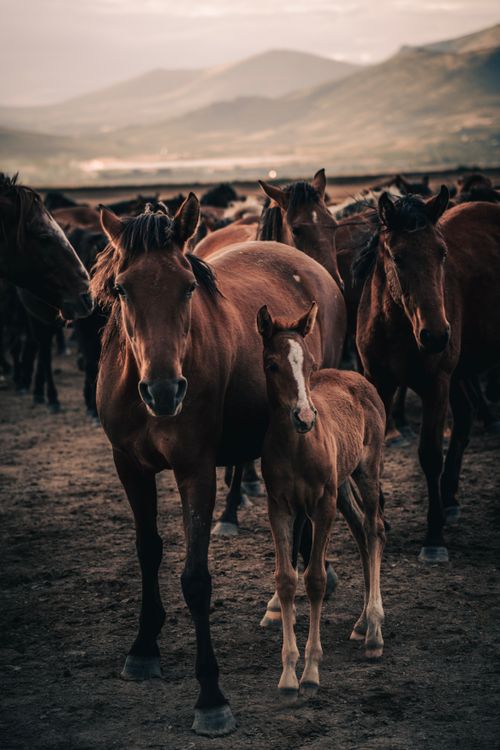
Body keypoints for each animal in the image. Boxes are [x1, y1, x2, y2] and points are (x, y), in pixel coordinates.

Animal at [90, 196, 346, 736]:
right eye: (121, 288)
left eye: (189, 286)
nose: (164, 391)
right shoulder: (129, 467)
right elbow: (148, 550)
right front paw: (143, 648)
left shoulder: (196, 471)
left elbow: (195, 578)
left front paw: (210, 696)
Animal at [257, 302, 386, 696]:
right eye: (272, 364)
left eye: (310, 364)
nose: (304, 416)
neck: (297, 447)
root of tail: (358, 377)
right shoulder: (279, 507)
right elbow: (286, 580)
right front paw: (288, 674)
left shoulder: (322, 505)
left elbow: (314, 579)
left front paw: (311, 670)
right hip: (342, 484)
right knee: (360, 530)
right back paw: (361, 623)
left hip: (366, 471)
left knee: (374, 530)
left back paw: (374, 631)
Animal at [354, 188, 500, 562]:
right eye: (398, 257)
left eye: (442, 252)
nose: (435, 335)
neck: (398, 329)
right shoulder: (379, 383)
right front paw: (380, 517)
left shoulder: (436, 385)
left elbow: (431, 455)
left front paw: (434, 536)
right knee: (464, 419)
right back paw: (450, 499)